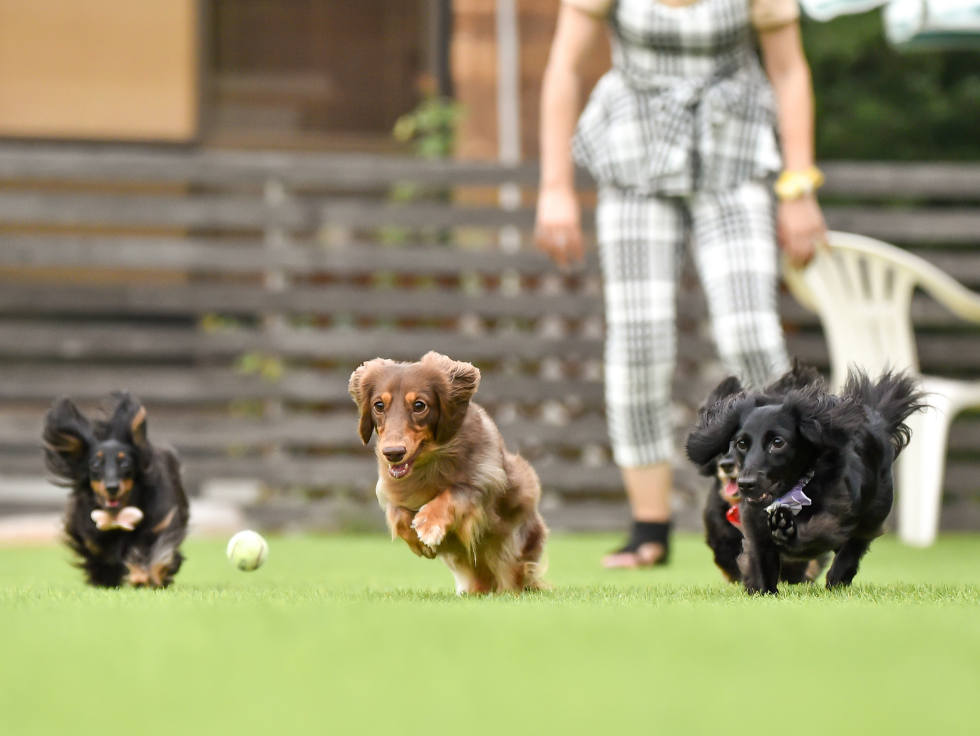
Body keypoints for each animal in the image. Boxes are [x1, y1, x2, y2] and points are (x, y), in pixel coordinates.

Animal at [43, 394, 189, 588]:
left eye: (126, 464)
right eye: (95, 465)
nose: (112, 487)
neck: (118, 517)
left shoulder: (159, 525)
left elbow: (152, 552)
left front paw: (142, 575)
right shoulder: (90, 534)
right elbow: (99, 555)